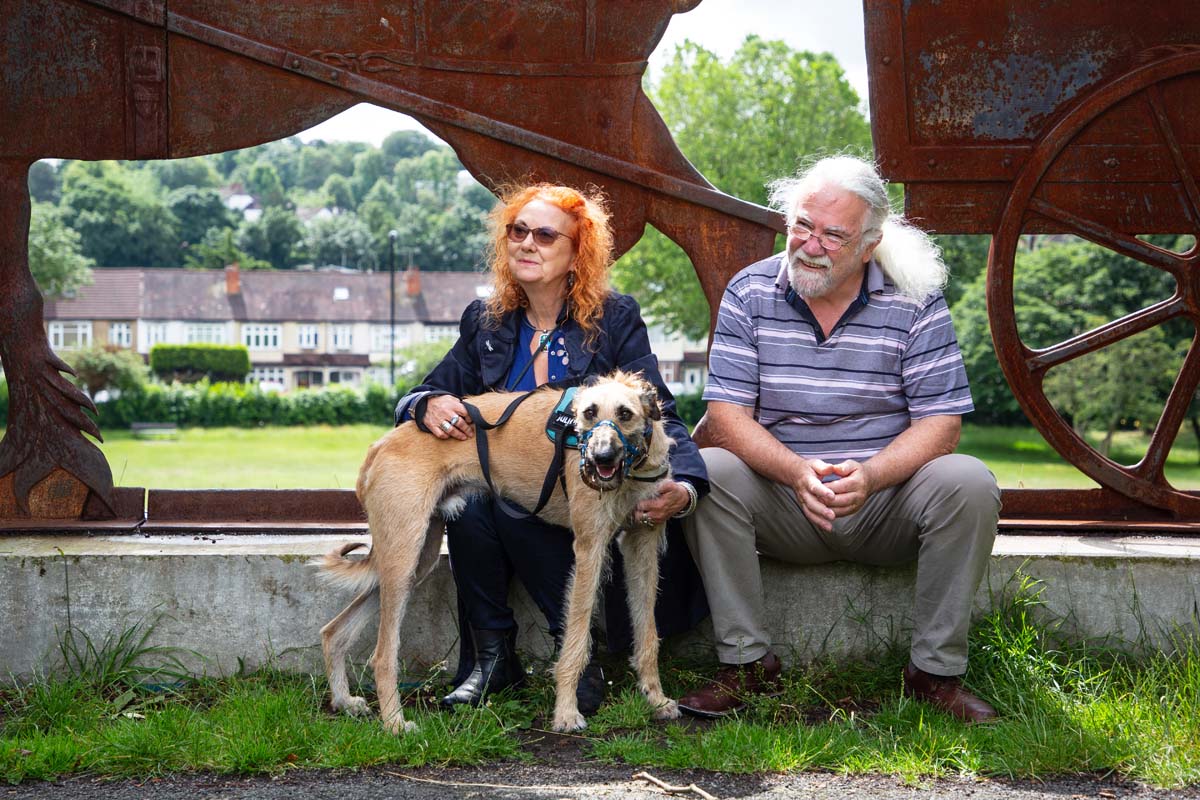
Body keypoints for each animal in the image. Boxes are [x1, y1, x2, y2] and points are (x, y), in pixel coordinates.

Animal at [316, 369, 686, 734]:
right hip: (402, 558)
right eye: (589, 413)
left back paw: (345, 701)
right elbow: (576, 639)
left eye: (625, 413)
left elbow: (648, 633)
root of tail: (380, 445)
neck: (629, 470)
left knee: (333, 631)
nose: (601, 458)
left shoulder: (642, 545)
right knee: (381, 656)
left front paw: (656, 699)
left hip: (414, 562)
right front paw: (566, 714)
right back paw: (394, 723)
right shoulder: (589, 548)